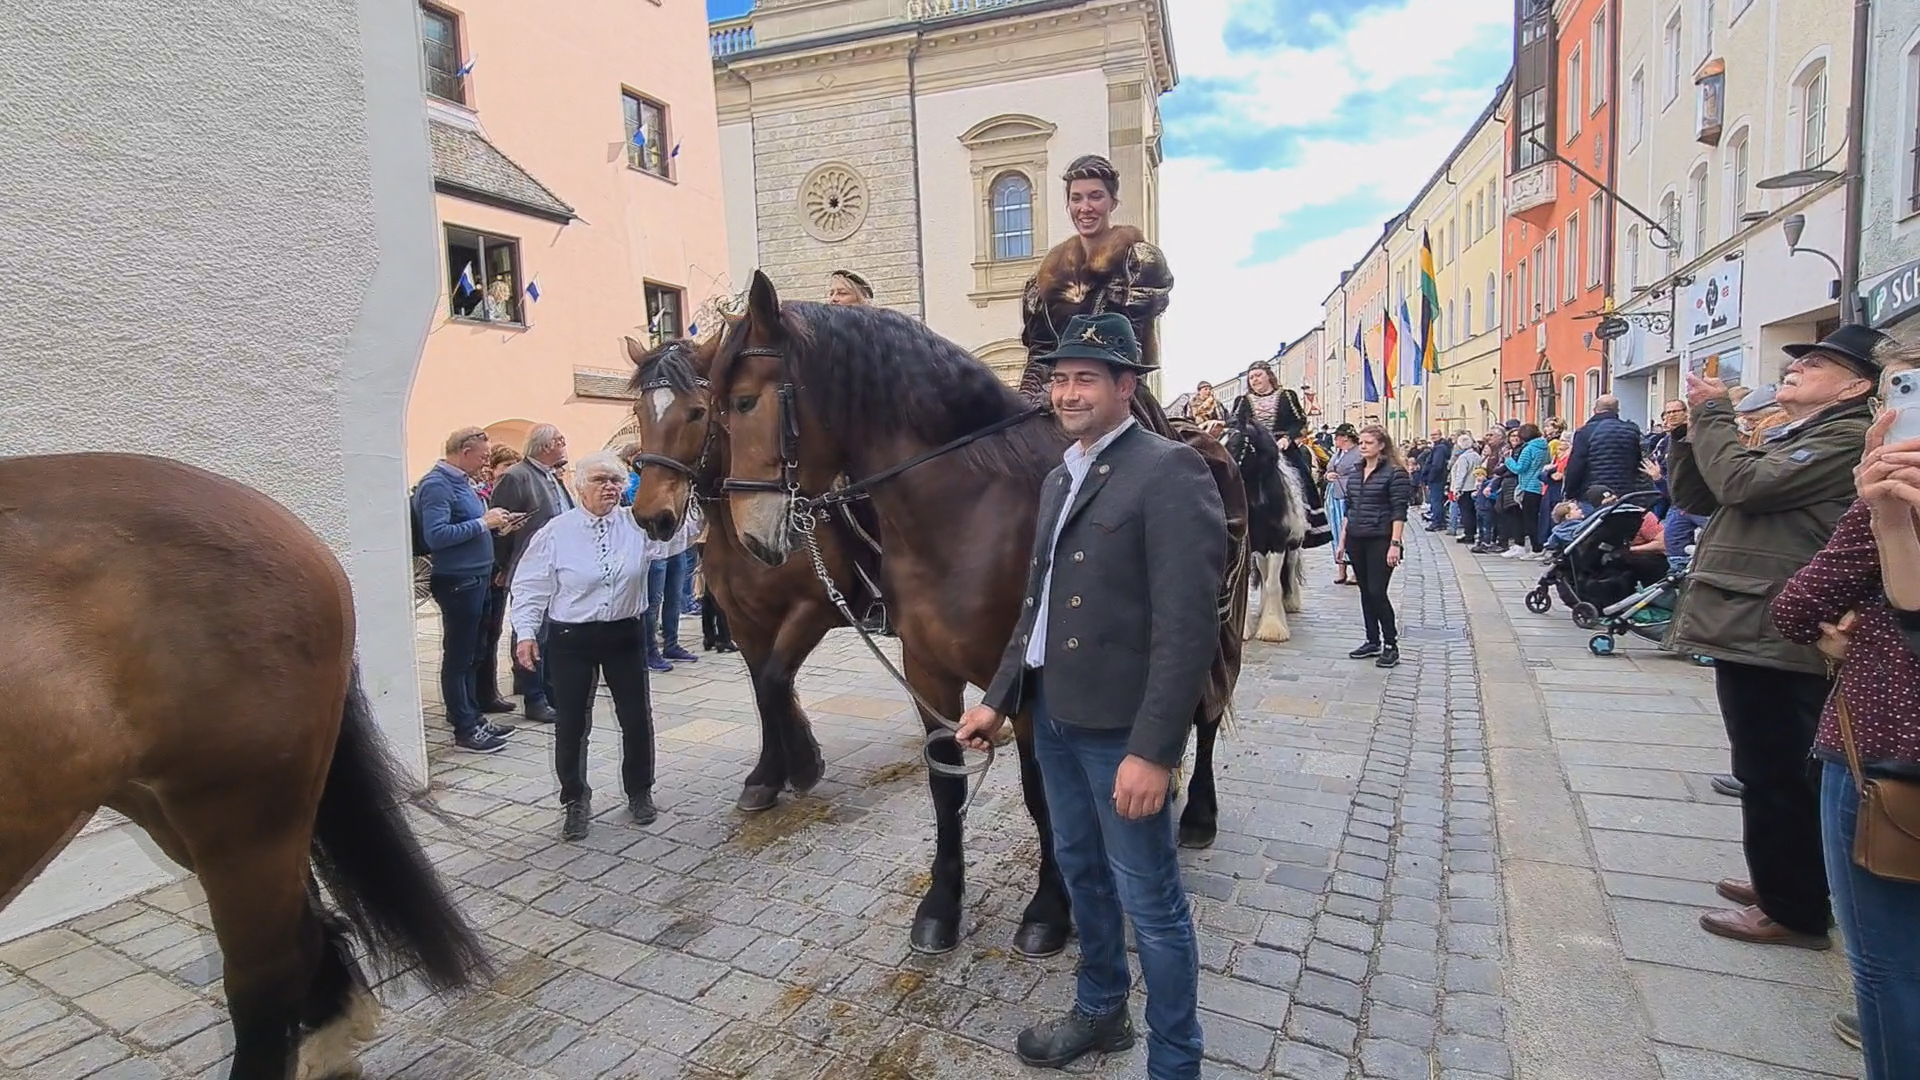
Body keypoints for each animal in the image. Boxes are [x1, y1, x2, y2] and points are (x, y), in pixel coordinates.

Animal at [618, 334, 879, 807]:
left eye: (697, 412)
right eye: (639, 412)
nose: (651, 516)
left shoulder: (814, 608)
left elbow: (775, 681)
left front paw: (803, 764)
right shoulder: (742, 620)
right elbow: (763, 689)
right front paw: (768, 774)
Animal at [702, 272, 1244, 953]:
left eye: (745, 401)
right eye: (715, 410)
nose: (754, 536)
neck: (969, 508)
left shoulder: (1029, 686)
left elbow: (1042, 793)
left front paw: (1048, 909)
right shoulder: (928, 671)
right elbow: (946, 784)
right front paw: (941, 904)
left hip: (1215, 625)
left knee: (1204, 710)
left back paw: (1197, 812)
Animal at [1221, 405, 1313, 638]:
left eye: (1237, 443)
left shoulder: (1278, 542)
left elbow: (1273, 583)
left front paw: (1272, 629)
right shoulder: (1250, 544)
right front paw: (1246, 628)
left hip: (1293, 544)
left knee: (1288, 568)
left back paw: (1290, 602)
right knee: (1263, 570)